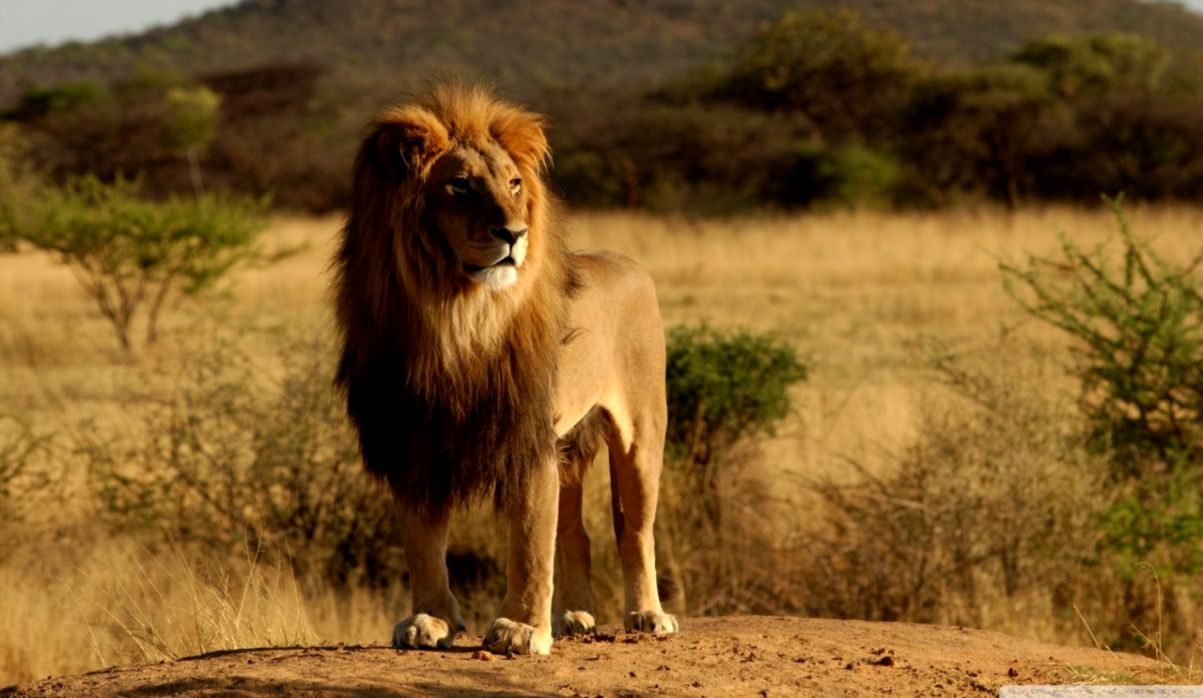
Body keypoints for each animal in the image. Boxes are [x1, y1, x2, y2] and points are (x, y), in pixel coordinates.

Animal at [333, 84, 677, 655]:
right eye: (460, 186)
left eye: (514, 184)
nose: (514, 233)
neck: (455, 317)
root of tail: (628, 263)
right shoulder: (413, 439)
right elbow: (422, 543)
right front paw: (430, 620)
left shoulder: (525, 437)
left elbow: (530, 543)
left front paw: (520, 629)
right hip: (569, 446)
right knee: (576, 533)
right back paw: (575, 617)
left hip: (641, 434)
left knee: (635, 530)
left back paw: (647, 615)